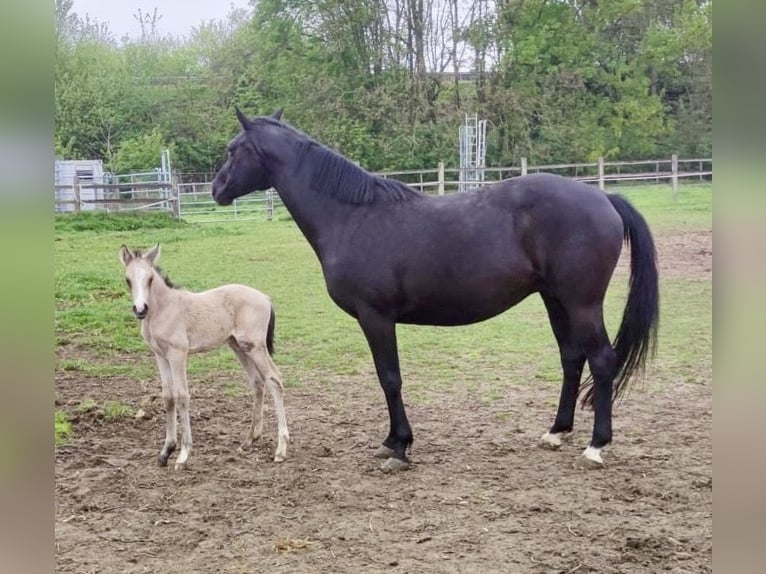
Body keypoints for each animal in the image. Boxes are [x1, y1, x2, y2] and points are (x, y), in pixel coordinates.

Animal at [119, 244, 290, 470]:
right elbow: (168, 397)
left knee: (274, 379)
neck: (164, 309)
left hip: (256, 346)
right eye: (128, 279)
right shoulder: (160, 355)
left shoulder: (178, 353)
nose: (140, 309)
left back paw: (280, 450)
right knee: (257, 381)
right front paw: (165, 452)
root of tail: (265, 298)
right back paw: (249, 441)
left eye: (150, 279)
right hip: (239, 346)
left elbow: (182, 395)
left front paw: (183, 454)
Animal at [211, 108, 659, 472]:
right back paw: (556, 431)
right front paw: (392, 441)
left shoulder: (376, 317)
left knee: (601, 360)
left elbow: (389, 378)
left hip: (582, 303)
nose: (216, 189)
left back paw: (596, 446)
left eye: (234, 149)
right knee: (571, 358)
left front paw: (399, 447)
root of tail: (603, 196)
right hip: (555, 300)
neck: (352, 217)